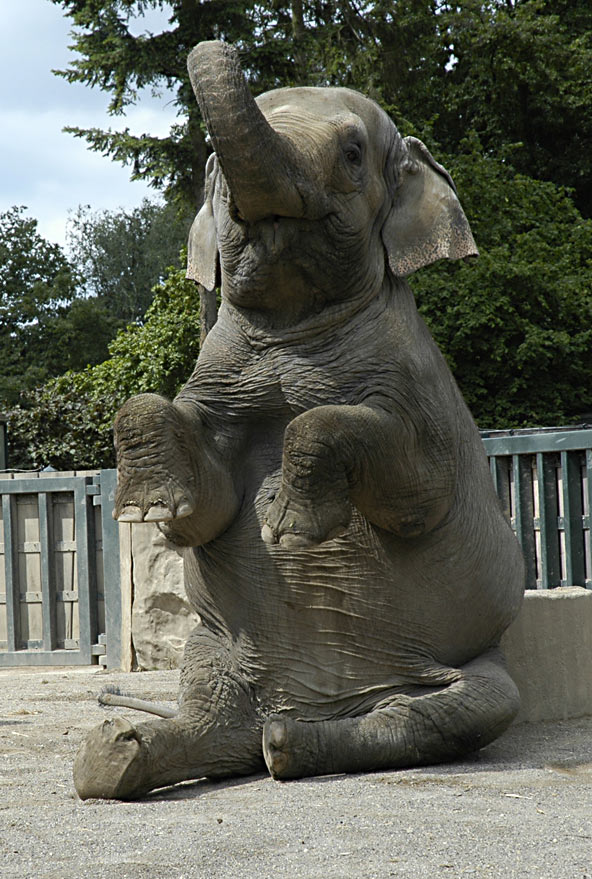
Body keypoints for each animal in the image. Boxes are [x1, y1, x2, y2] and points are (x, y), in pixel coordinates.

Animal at [73, 41, 524, 804]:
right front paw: (153, 509)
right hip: (212, 648)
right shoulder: (218, 383)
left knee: (458, 711)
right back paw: (119, 750)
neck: (290, 326)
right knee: (204, 719)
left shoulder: (420, 393)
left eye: (352, 153)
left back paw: (292, 744)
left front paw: (286, 523)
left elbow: (416, 493)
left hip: (477, 669)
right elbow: (202, 507)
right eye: (211, 165)